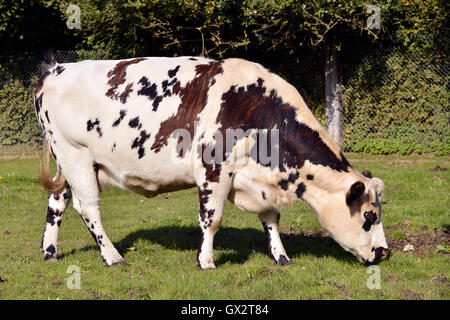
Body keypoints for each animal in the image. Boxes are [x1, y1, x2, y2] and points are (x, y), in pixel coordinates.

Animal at [35, 55, 388, 268]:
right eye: (369, 216)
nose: (384, 252)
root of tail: (54, 70)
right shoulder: (214, 170)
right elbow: (212, 219)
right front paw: (205, 261)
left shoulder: (258, 181)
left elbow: (271, 219)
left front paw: (281, 256)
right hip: (75, 155)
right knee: (88, 207)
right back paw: (112, 256)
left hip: (67, 164)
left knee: (57, 202)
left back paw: (50, 252)